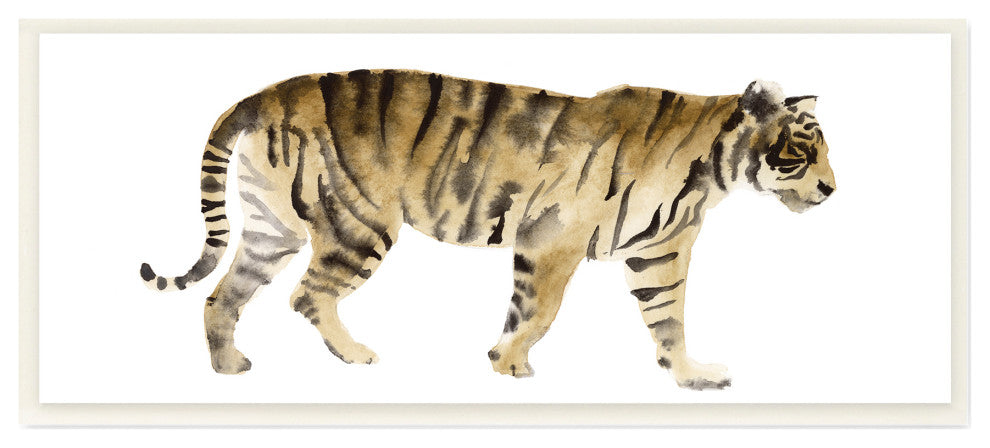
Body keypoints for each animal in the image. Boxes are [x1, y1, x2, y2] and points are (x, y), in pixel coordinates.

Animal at [140, 69, 835, 390]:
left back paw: (228, 365)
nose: (832, 190)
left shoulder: (660, 256)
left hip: (272, 228)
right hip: (361, 222)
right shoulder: (553, 240)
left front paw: (691, 376)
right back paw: (355, 354)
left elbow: (668, 318)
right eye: (802, 149)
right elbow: (540, 311)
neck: (712, 171)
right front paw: (510, 364)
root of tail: (270, 92)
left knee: (223, 295)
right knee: (307, 294)